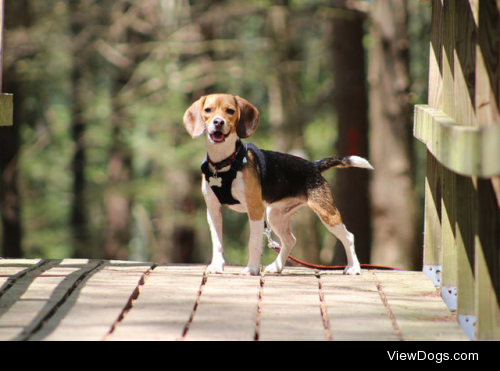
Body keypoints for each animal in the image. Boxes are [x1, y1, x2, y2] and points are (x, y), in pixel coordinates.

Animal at [183, 94, 372, 278]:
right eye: (208, 110)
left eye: (230, 111)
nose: (218, 122)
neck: (224, 163)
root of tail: (313, 165)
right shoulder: (213, 209)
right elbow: (217, 241)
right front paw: (217, 266)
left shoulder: (255, 210)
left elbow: (253, 243)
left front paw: (251, 269)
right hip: (275, 215)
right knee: (290, 240)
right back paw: (276, 267)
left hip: (327, 214)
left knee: (349, 237)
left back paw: (354, 268)